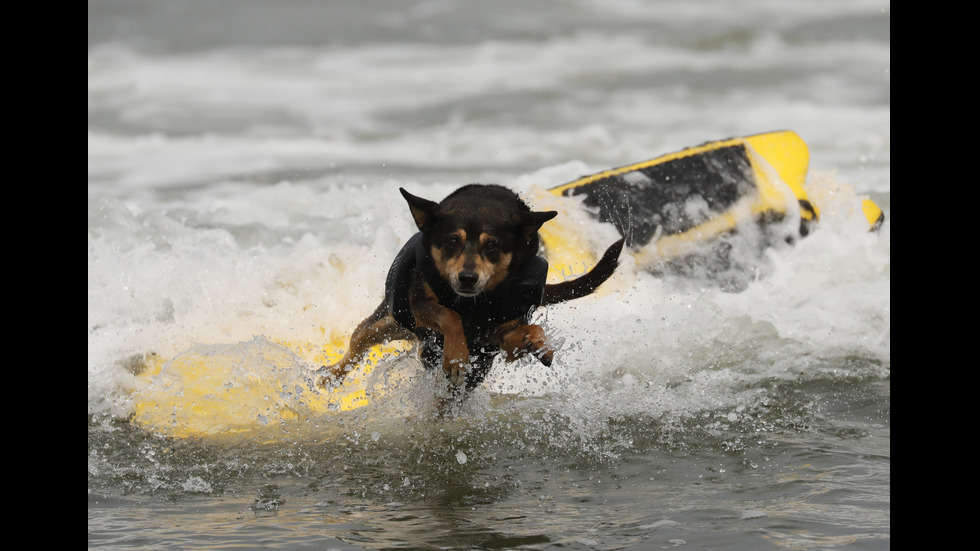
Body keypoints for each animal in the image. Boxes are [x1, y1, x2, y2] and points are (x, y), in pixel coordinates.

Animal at [318, 185, 624, 402]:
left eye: (492, 245)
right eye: (452, 241)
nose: (467, 278)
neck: (474, 304)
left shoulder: (500, 332)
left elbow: (528, 330)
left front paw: (538, 342)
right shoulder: (420, 304)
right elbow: (449, 316)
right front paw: (456, 356)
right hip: (388, 322)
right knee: (357, 343)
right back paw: (329, 376)